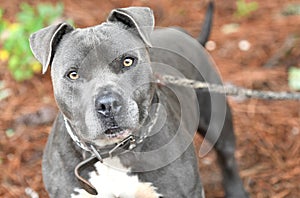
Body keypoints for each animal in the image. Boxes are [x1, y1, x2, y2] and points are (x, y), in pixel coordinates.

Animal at [28, 1, 248, 198]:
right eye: (73, 74)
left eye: (127, 62)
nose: (107, 104)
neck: (112, 153)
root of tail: (183, 33)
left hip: (217, 118)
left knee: (228, 158)